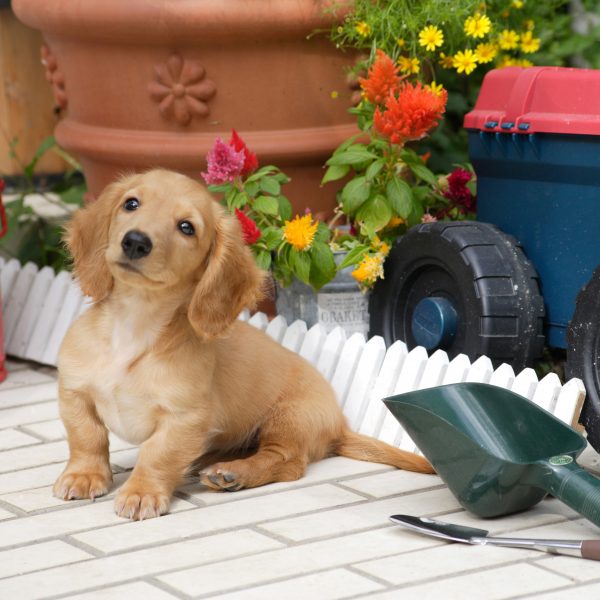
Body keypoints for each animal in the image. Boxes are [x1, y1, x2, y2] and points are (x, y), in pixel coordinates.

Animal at [54, 169, 434, 520]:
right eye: (131, 204)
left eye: (187, 227)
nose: (135, 241)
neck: (134, 326)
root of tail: (339, 425)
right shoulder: (75, 393)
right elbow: (87, 438)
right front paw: (84, 476)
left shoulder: (183, 418)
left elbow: (157, 455)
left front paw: (142, 492)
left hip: (288, 418)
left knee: (287, 461)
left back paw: (234, 473)